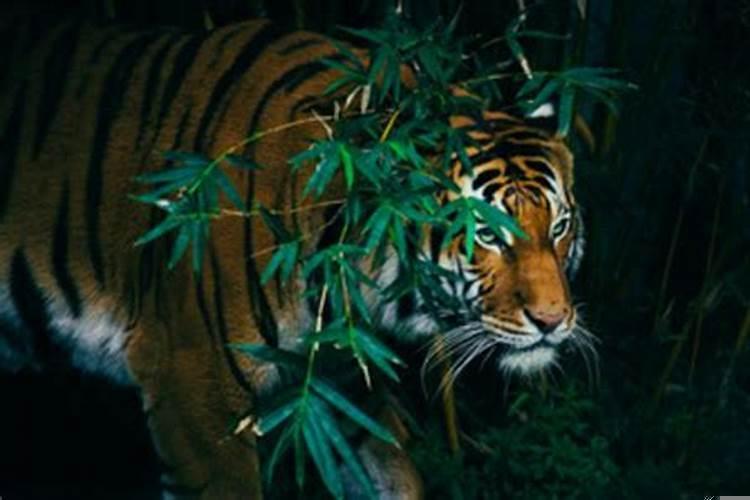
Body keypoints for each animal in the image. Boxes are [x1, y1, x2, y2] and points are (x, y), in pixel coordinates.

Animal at [0, 16, 586, 500]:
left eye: (559, 227)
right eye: (484, 234)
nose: (553, 320)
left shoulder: (336, 383)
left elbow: (393, 475)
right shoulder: (191, 385)